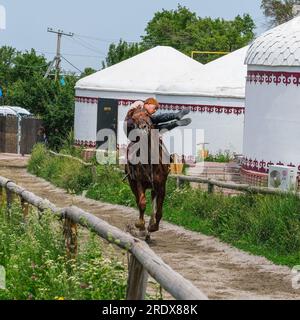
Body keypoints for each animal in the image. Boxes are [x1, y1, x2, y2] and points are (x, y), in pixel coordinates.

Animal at [125, 109, 171, 239]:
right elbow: (142, 203)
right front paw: (140, 225)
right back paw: (143, 229)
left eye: (147, 115)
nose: (143, 128)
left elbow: (159, 210)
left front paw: (153, 226)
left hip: (154, 187)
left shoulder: (161, 185)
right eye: (134, 118)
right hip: (133, 184)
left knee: (153, 203)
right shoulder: (139, 182)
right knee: (138, 200)